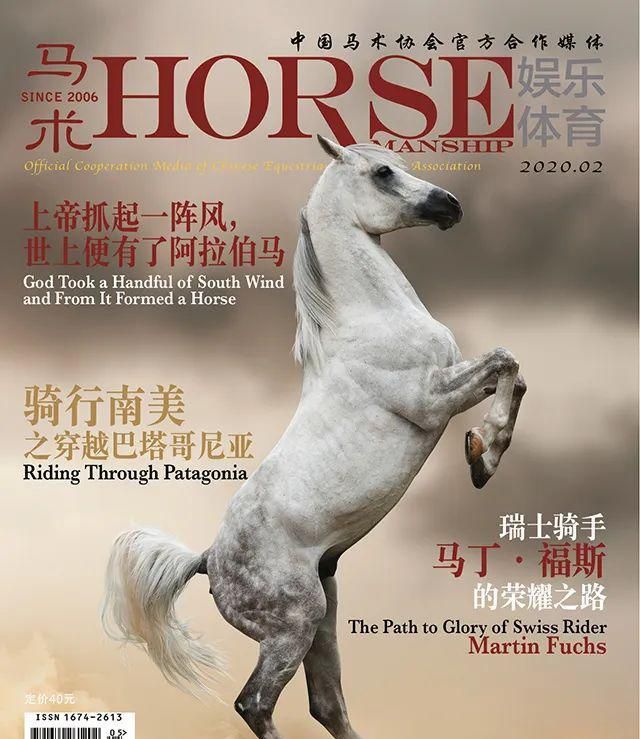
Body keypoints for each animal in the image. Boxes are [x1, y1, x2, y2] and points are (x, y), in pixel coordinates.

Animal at [102, 136, 526, 739]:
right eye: (383, 172)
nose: (450, 205)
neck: (370, 321)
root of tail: (206, 560)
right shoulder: (431, 400)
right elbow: (505, 359)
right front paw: (480, 457)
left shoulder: (451, 383)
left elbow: (514, 373)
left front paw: (485, 452)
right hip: (294, 626)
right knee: (255, 703)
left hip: (324, 617)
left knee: (327, 704)